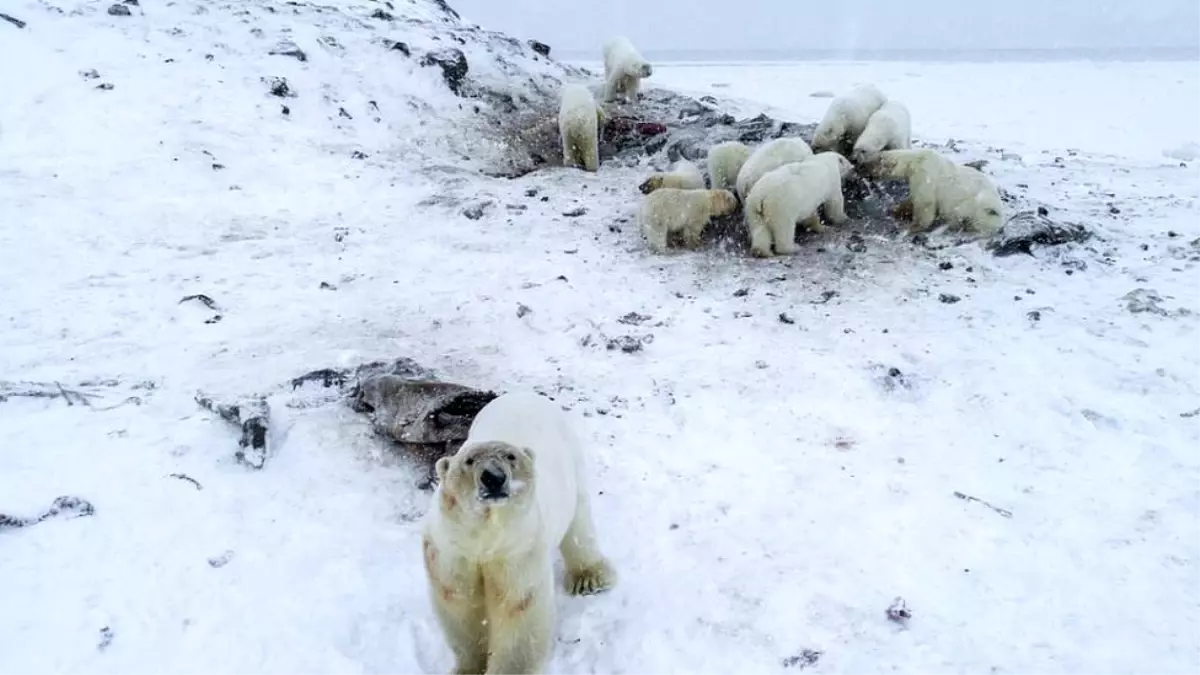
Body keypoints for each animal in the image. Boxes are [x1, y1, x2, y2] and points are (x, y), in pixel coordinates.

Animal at [422, 389, 614, 672]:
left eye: (511, 457)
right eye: (469, 460)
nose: (493, 477)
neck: (485, 536)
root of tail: (522, 393)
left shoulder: (518, 551)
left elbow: (518, 610)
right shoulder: (452, 551)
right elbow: (460, 605)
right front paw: (468, 668)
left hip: (571, 461)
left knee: (579, 521)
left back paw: (589, 579)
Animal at [868, 149, 1008, 236]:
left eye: (870, 164)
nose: (862, 167)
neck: (916, 160)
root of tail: (1000, 216)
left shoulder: (925, 174)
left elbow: (925, 203)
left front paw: (912, 226)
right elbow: (911, 200)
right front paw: (894, 210)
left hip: (977, 207)